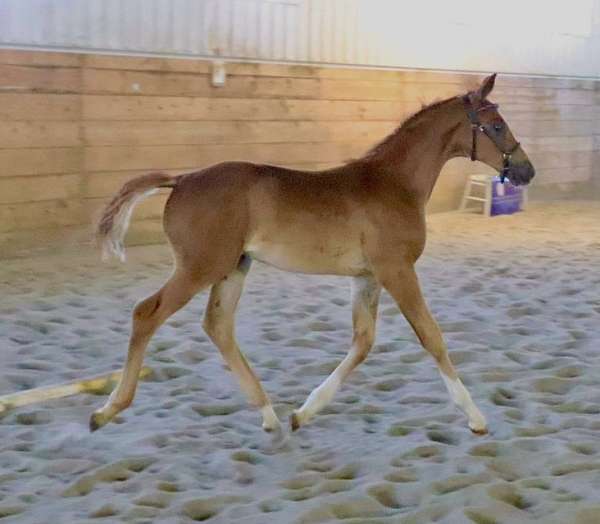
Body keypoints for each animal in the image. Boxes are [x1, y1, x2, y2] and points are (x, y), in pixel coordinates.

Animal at [88, 72, 536, 434]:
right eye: (497, 125)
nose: (527, 171)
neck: (393, 183)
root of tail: (181, 180)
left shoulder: (367, 277)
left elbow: (363, 342)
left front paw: (303, 413)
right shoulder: (397, 271)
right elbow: (432, 337)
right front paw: (476, 417)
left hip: (234, 267)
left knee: (218, 326)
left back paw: (270, 415)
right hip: (200, 267)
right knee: (147, 313)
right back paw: (107, 410)